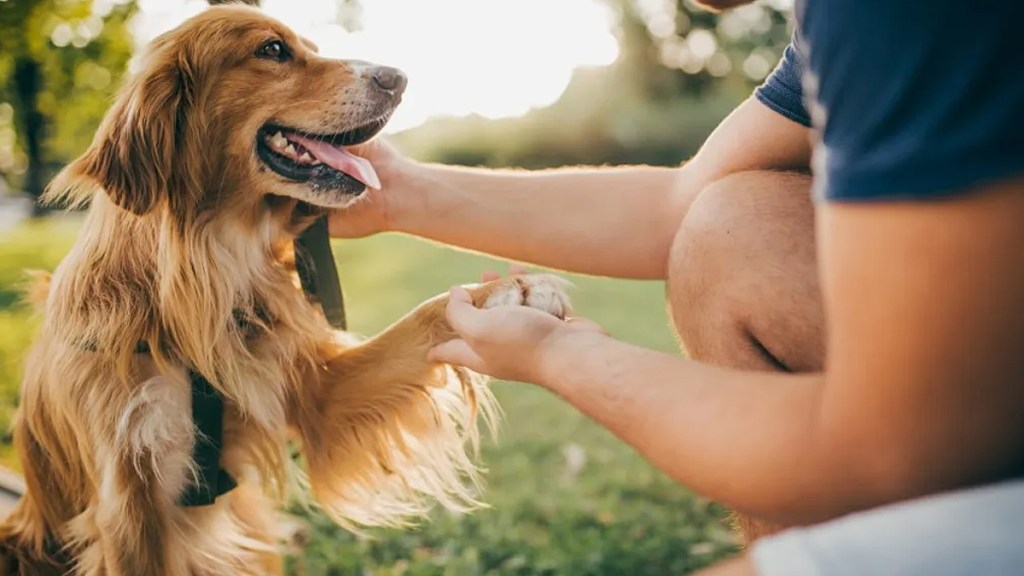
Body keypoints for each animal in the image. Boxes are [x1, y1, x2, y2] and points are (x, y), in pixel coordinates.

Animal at [0, 5, 569, 573]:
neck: (203, 271)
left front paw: (512, 292)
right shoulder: (127, 507)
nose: (400, 79)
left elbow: (424, 317)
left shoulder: (314, 391)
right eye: (272, 50)